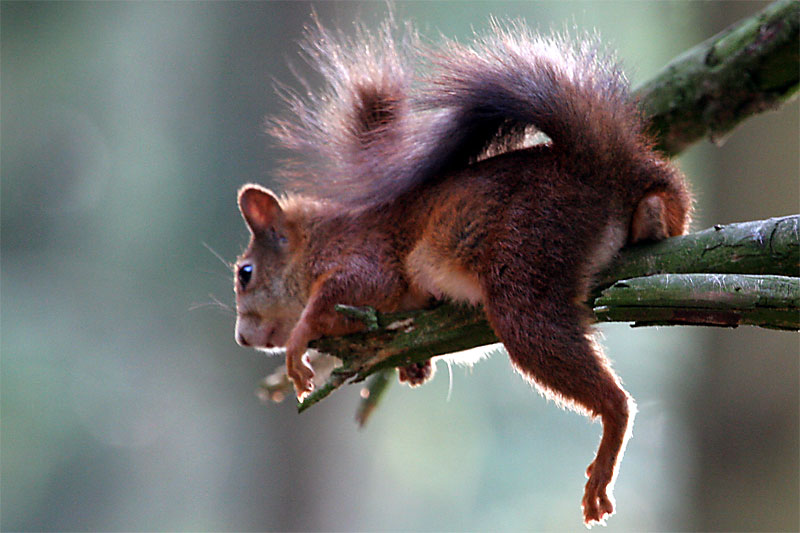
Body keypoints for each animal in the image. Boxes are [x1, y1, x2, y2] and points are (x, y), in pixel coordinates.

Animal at [231, 17, 688, 524]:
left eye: (245, 273)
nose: (242, 338)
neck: (316, 242)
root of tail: (600, 167)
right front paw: (413, 365)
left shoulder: (368, 259)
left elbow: (345, 291)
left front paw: (300, 339)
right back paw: (651, 217)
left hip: (527, 252)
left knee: (585, 375)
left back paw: (609, 431)